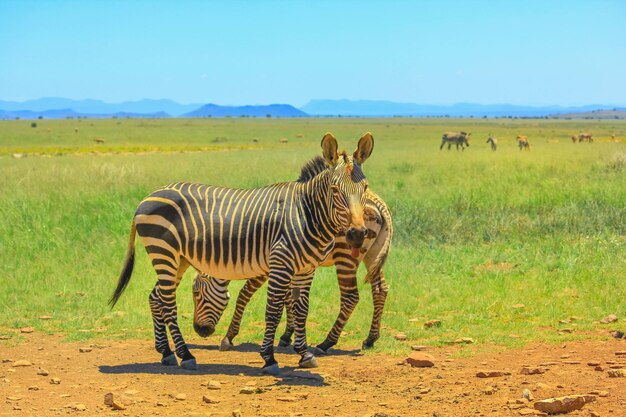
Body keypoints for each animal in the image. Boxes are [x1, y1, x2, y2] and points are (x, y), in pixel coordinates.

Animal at [191, 188, 390, 354]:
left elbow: (244, 294)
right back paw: (370, 339)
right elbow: (289, 298)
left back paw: (326, 343)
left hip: (345, 254)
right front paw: (288, 334)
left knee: (350, 297)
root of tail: (378, 202)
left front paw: (229, 336)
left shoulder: (267, 266)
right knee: (380, 289)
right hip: (372, 254)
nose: (199, 330)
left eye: (196, 293)